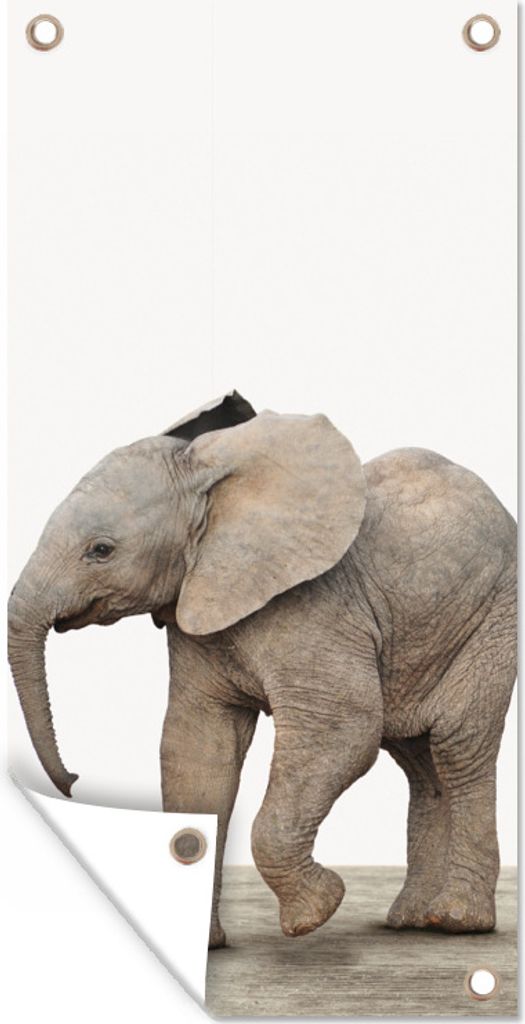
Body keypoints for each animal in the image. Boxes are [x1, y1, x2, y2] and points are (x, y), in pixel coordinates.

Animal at [8, 391, 517, 948]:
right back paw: (410, 920)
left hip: (493, 616)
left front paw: (316, 912)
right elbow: (199, 753)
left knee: (455, 744)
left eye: (100, 550)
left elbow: (343, 729)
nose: (74, 781)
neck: (210, 477)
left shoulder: (317, 605)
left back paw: (457, 921)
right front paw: (207, 945)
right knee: (418, 760)